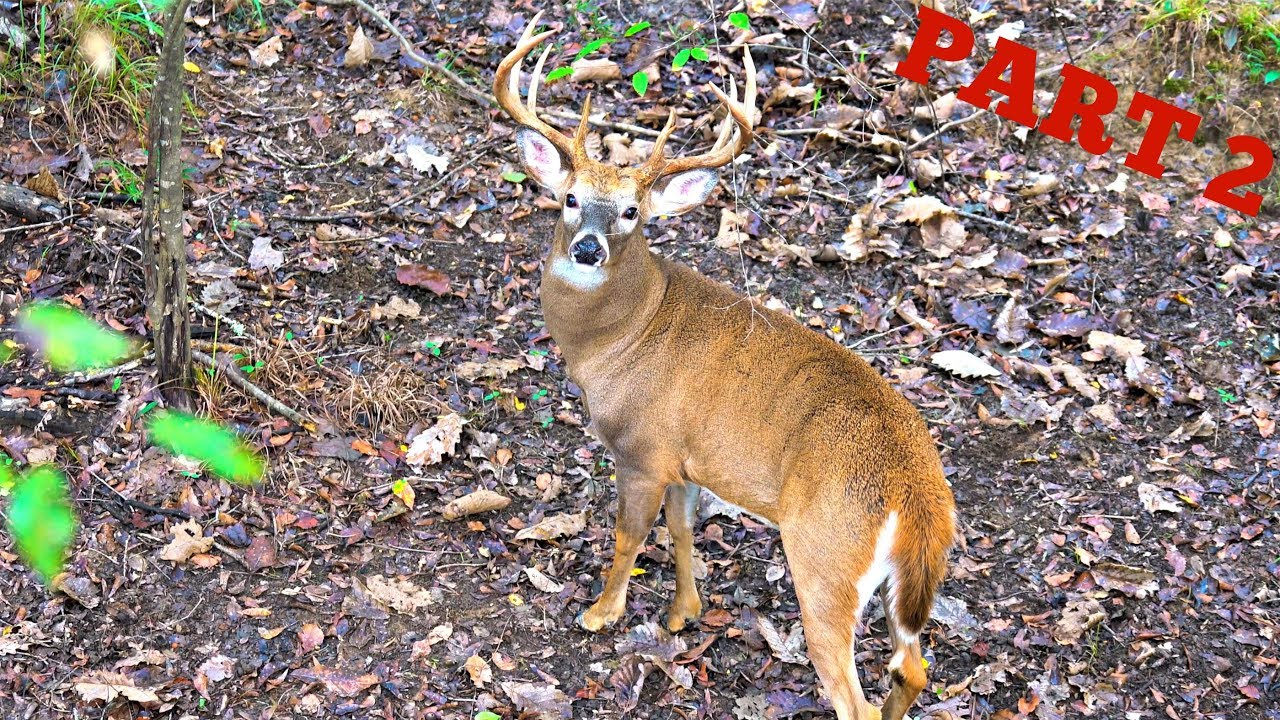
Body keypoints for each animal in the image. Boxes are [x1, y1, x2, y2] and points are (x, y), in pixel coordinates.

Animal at [493, 14, 957, 720]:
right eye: (570, 198)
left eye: (631, 212)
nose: (588, 247)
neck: (622, 337)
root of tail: (920, 496)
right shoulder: (688, 461)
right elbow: (682, 531)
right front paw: (683, 613)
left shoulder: (643, 449)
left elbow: (629, 537)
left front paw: (601, 613)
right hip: (897, 587)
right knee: (913, 668)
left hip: (825, 558)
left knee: (855, 690)